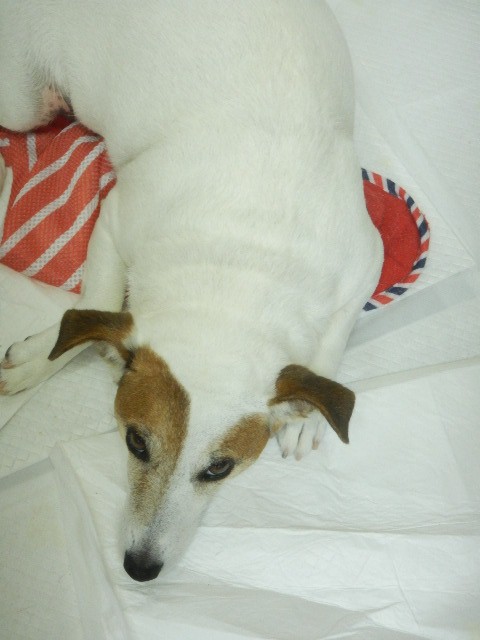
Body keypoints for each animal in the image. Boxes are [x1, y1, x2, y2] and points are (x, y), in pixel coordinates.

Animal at [0, 0, 383, 581]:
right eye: (135, 442)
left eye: (219, 468)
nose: (139, 568)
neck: (240, 259)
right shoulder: (116, 218)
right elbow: (96, 311)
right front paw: (43, 358)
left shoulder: (365, 260)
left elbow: (334, 337)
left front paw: (306, 411)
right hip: (20, 97)